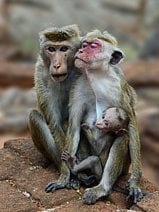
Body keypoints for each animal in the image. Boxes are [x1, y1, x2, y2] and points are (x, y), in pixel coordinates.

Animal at [27, 24, 81, 192]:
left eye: (64, 49)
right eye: (51, 49)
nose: (56, 65)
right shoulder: (40, 73)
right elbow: (55, 124)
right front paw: (64, 177)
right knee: (35, 116)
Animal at [65, 29, 143, 204]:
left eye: (94, 46)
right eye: (84, 44)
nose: (80, 51)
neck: (96, 76)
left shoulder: (117, 88)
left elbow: (131, 124)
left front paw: (135, 183)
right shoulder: (77, 87)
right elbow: (74, 127)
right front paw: (66, 176)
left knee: (122, 137)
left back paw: (101, 188)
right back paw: (80, 174)